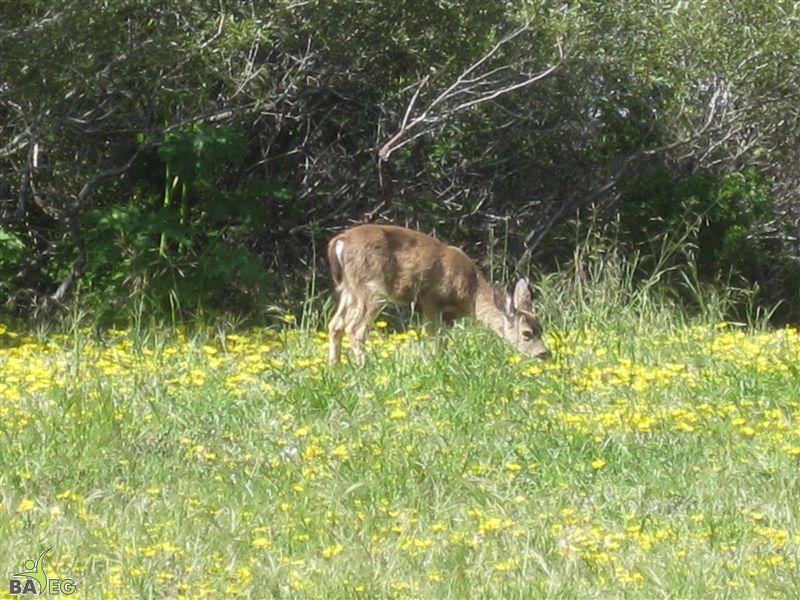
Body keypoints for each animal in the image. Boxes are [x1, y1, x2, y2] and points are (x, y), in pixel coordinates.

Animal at [326, 224, 549, 366]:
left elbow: (443, 341)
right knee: (355, 328)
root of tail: (340, 242)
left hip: (348, 288)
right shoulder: (431, 300)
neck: (469, 294)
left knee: (336, 324)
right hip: (372, 287)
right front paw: (436, 365)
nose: (544, 354)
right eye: (526, 333)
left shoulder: (448, 315)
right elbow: (435, 338)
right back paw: (365, 366)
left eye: (541, 329)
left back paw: (334, 366)